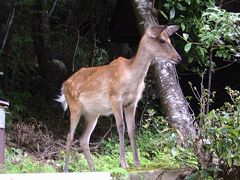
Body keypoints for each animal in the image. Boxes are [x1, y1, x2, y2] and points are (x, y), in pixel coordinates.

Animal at [55, 24, 181, 172]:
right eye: (162, 40)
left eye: (170, 40)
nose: (178, 57)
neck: (131, 78)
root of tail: (64, 85)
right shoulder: (115, 98)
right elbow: (121, 127)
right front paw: (124, 163)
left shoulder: (132, 103)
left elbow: (132, 129)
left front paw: (137, 163)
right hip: (74, 106)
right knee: (70, 135)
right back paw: (66, 169)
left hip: (93, 114)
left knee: (83, 139)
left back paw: (93, 169)